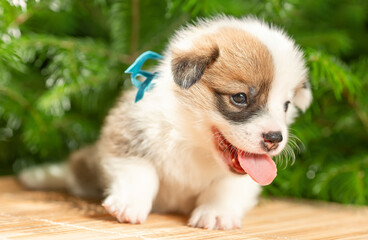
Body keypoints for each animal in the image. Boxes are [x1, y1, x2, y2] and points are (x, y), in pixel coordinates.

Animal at [20, 15, 312, 230]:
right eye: (240, 98)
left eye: (286, 105)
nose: (275, 139)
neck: (193, 142)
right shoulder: (127, 137)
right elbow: (141, 172)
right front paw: (130, 203)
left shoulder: (242, 181)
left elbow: (227, 187)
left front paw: (216, 213)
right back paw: (40, 176)